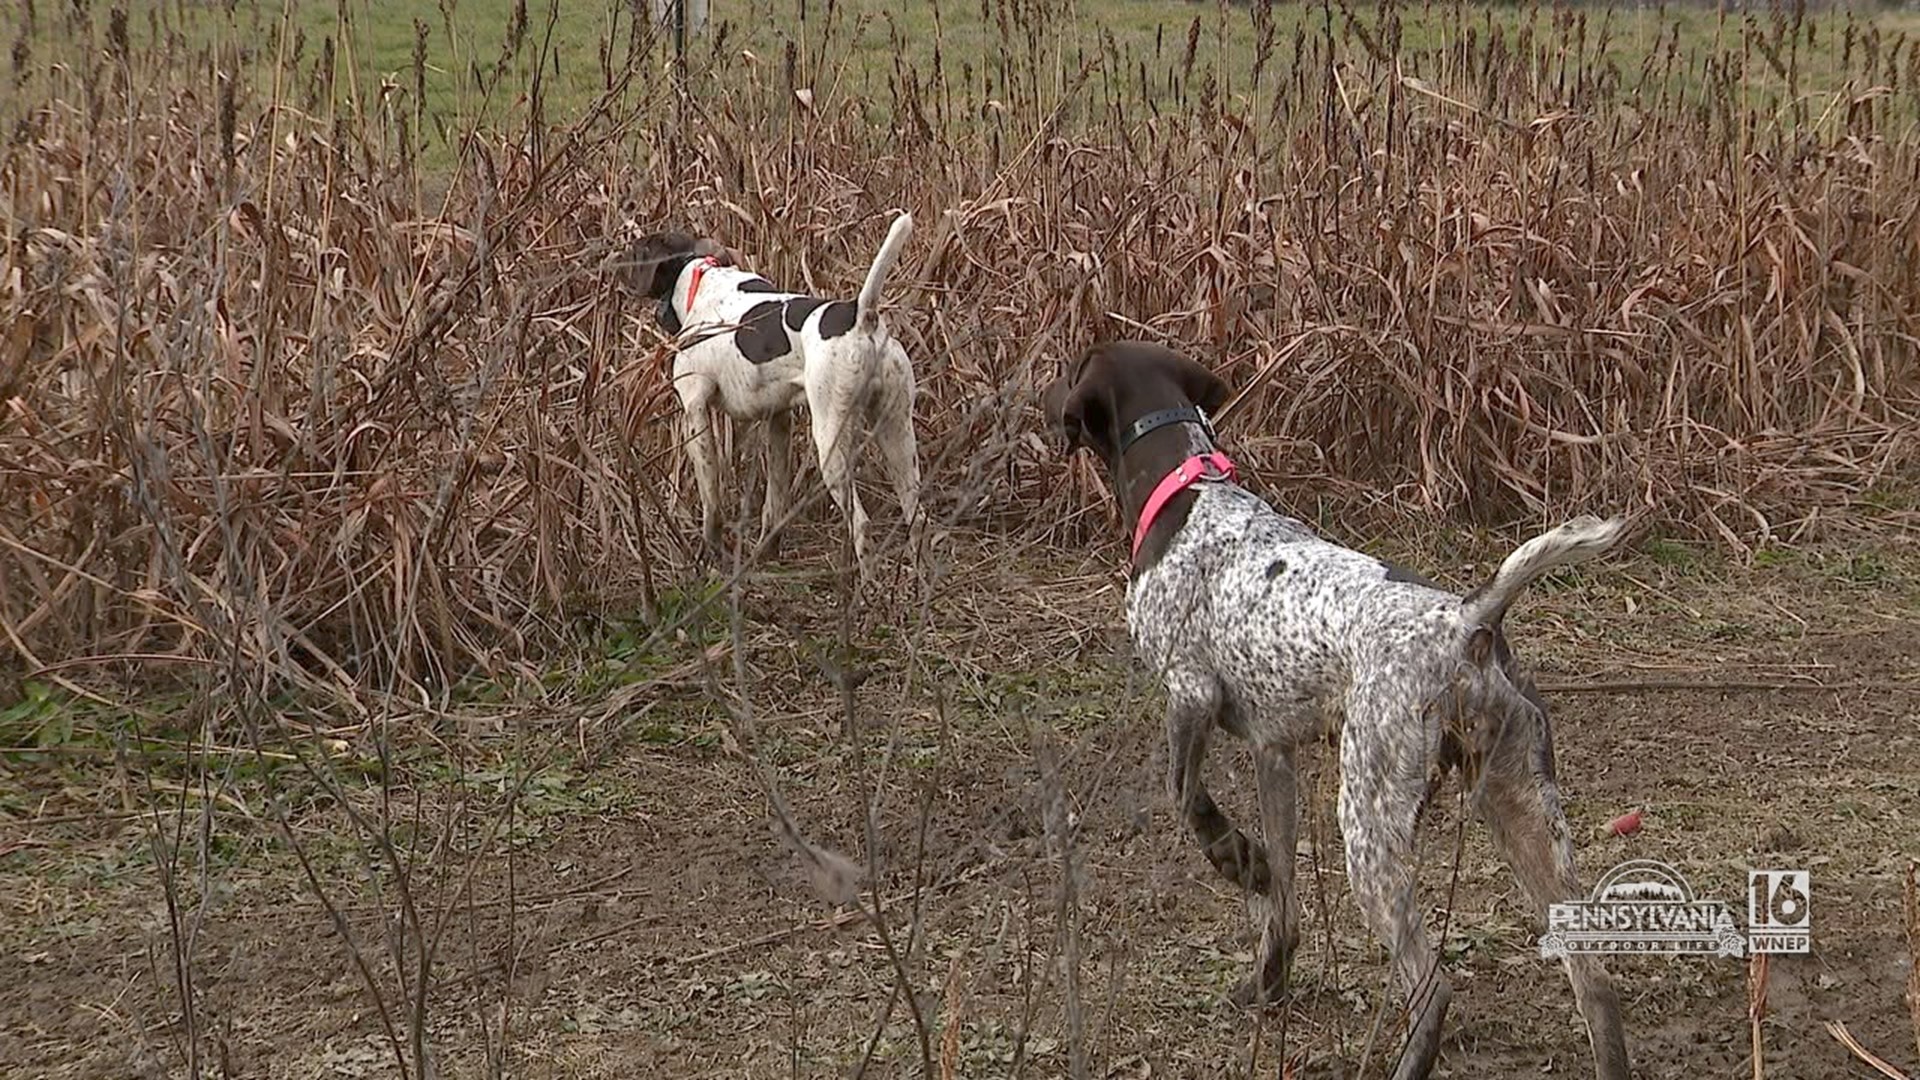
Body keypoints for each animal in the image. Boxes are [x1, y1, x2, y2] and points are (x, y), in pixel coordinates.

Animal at [614, 209, 913, 572]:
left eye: (634, 252)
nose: (615, 262)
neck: (699, 278)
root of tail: (860, 315)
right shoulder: (778, 419)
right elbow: (775, 501)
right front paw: (765, 553)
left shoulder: (695, 412)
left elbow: (711, 502)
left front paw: (709, 557)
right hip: (897, 433)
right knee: (917, 515)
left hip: (832, 440)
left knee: (862, 524)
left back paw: (868, 583)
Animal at [1044, 340, 1628, 1068]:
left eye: (1068, 370)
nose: (1038, 400)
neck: (1188, 487)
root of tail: (1469, 620)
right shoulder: (1273, 752)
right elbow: (1284, 897)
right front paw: (1269, 974)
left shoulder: (1188, 692)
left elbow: (1187, 799)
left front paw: (1237, 861)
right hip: (1522, 811)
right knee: (1595, 983)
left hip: (1370, 827)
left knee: (1432, 990)